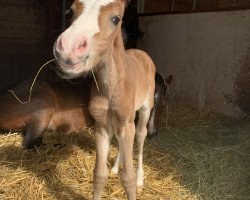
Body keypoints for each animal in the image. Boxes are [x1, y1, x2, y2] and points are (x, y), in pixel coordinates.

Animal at [53, 0, 155, 199]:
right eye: (70, 12)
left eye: (115, 19)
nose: (68, 49)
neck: (112, 87)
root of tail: (142, 53)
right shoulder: (101, 126)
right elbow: (99, 174)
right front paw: (111, 170)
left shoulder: (126, 123)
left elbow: (128, 178)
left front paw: (134, 179)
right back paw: (115, 168)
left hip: (145, 109)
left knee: (141, 135)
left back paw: (141, 178)